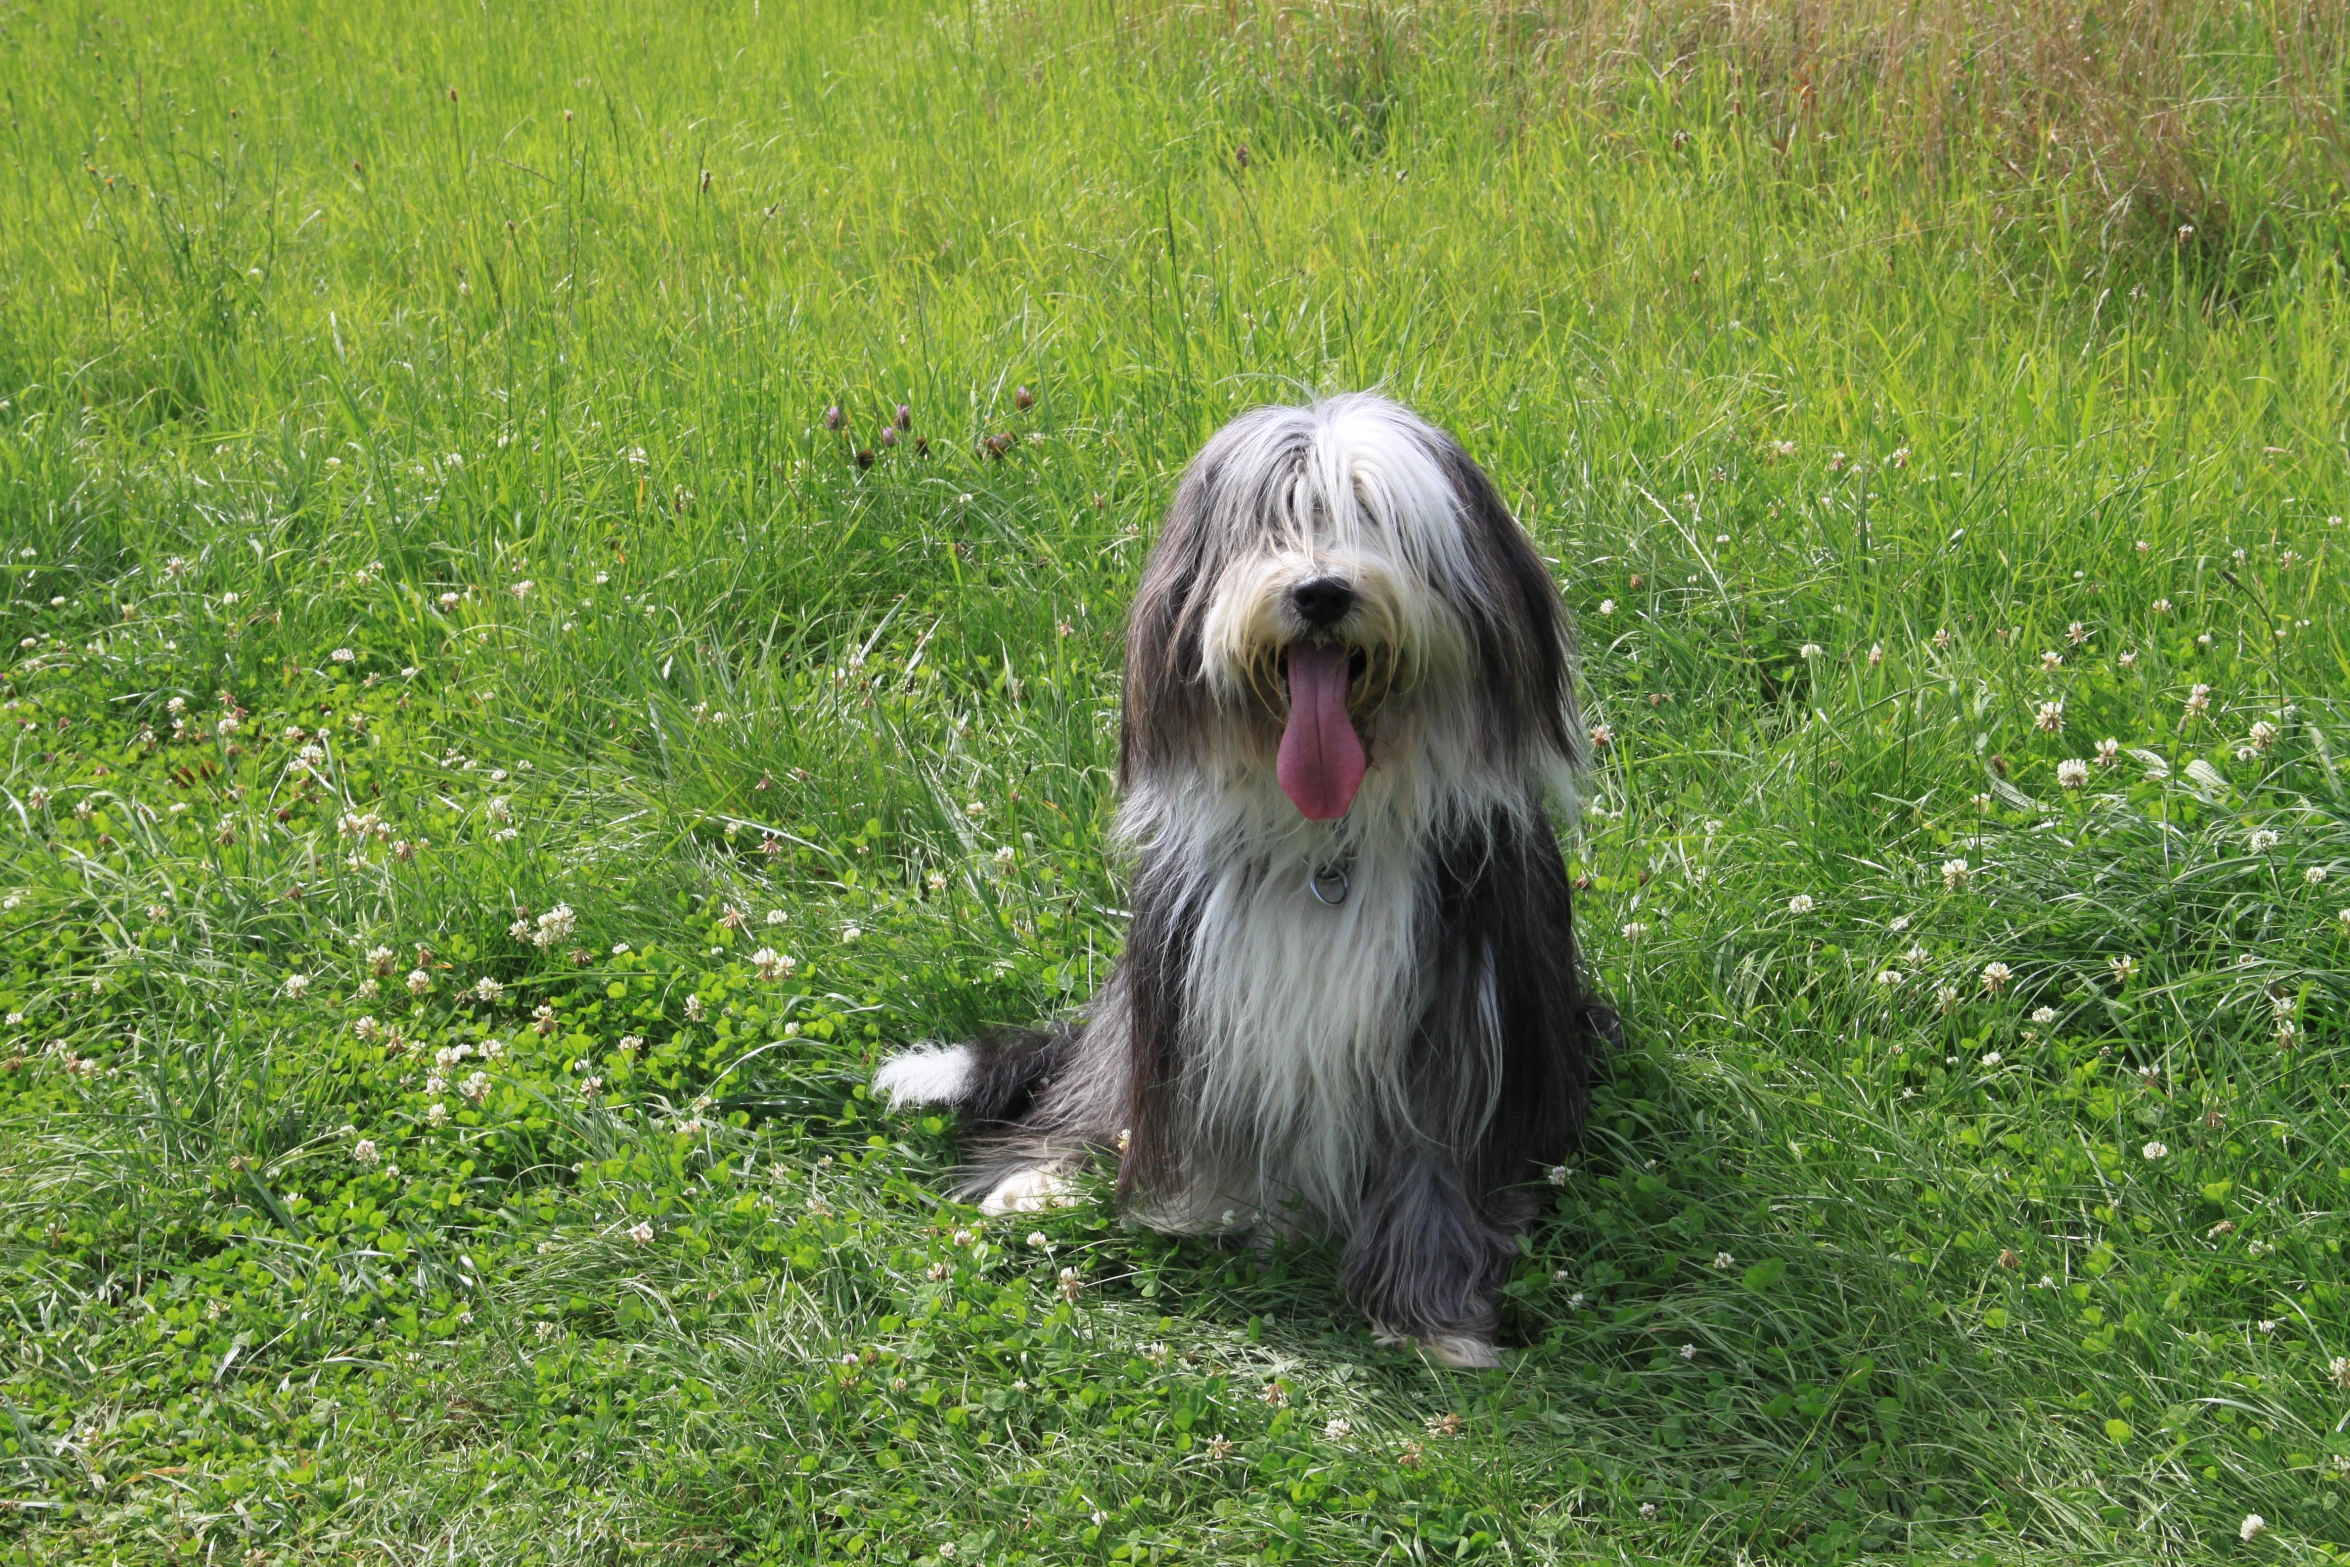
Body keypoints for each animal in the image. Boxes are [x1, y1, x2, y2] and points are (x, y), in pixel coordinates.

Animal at [878, 394, 1616, 1372]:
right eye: (1276, 519)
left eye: (1373, 515)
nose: (1321, 592)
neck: (1328, 848)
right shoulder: (1186, 1000)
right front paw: (1191, 1206)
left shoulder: (1462, 1034)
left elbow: (1434, 1175)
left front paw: (1434, 1317)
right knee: (1095, 1088)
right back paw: (1041, 1178)